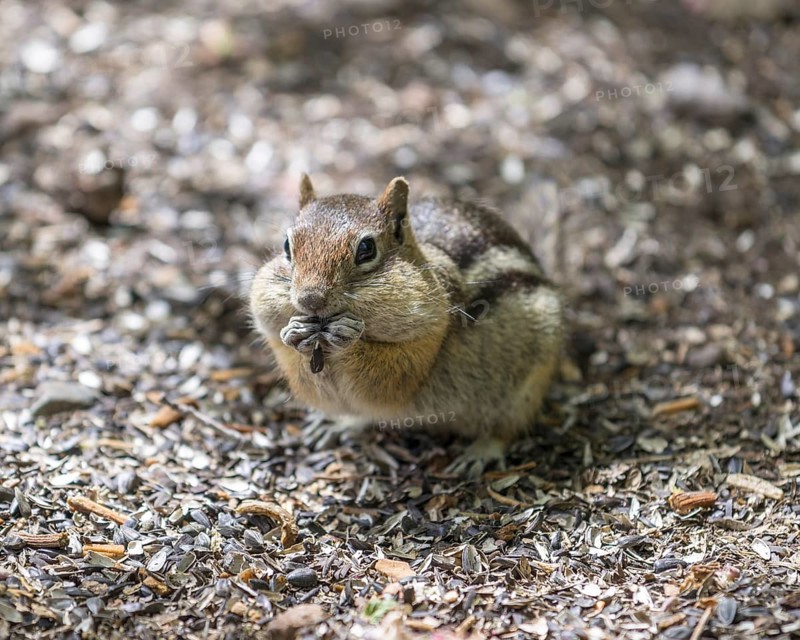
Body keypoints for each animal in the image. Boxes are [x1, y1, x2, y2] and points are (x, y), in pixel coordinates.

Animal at [249, 175, 565, 472]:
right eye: (287, 246)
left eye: (366, 249)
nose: (310, 299)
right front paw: (294, 334)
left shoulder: (426, 342)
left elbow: (392, 381)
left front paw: (349, 340)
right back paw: (340, 424)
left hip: (524, 390)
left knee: (506, 426)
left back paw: (482, 451)